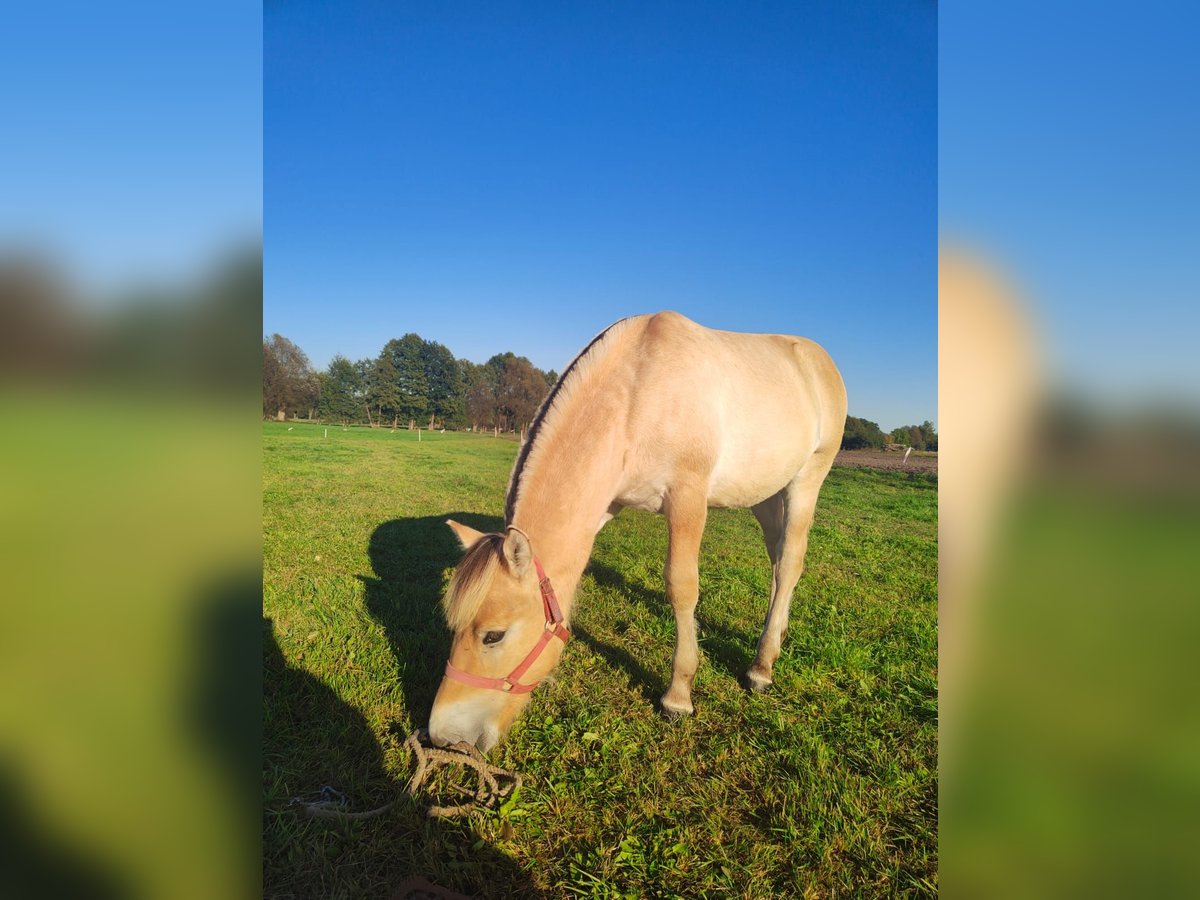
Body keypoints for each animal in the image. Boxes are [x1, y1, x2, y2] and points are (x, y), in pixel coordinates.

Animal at [427, 314, 849, 748]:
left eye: (493, 636)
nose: (443, 736)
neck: (636, 396)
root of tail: (819, 360)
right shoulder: (602, 505)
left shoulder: (687, 499)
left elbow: (682, 588)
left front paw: (678, 694)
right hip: (764, 495)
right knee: (778, 561)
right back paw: (775, 638)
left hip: (806, 480)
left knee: (790, 563)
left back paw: (761, 667)